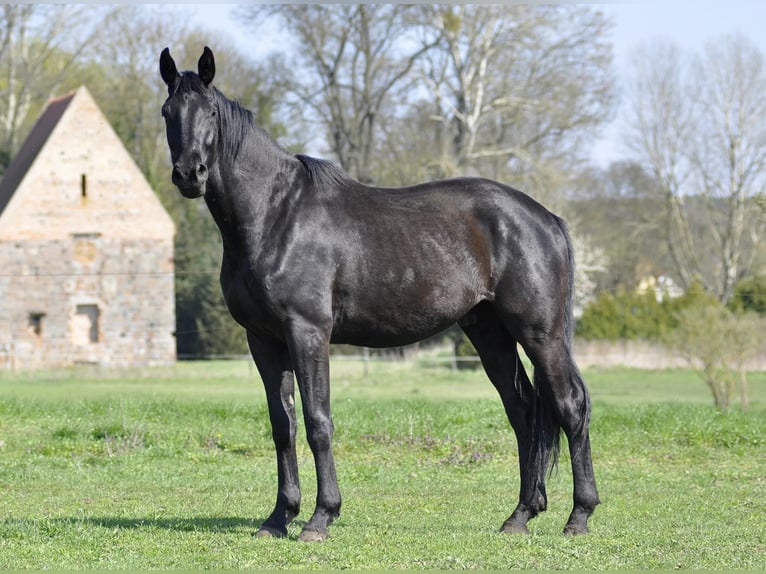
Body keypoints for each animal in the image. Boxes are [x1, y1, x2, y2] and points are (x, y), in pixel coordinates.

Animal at [158, 47, 600, 544]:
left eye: (210, 113)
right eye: (168, 112)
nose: (189, 174)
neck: (275, 215)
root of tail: (546, 219)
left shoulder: (307, 333)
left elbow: (318, 422)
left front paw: (320, 517)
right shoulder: (264, 340)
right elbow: (282, 425)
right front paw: (277, 518)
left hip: (540, 334)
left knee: (570, 407)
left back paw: (579, 515)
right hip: (489, 333)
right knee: (524, 412)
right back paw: (520, 515)